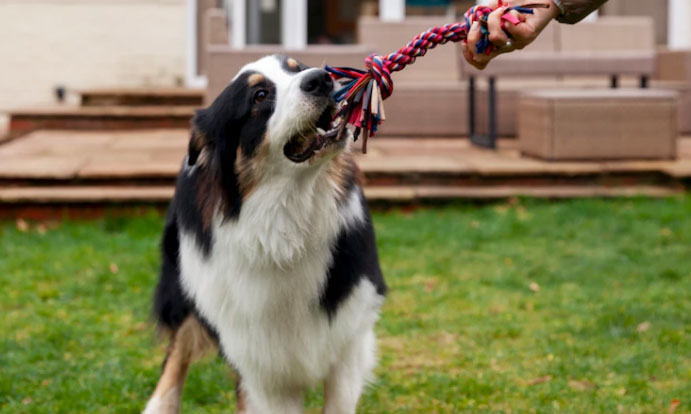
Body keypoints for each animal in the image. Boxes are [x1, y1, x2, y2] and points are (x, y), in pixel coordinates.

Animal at [143, 55, 386, 414]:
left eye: (299, 68)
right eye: (259, 96)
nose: (321, 79)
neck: (285, 227)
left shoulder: (349, 337)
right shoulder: (261, 362)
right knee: (178, 348)